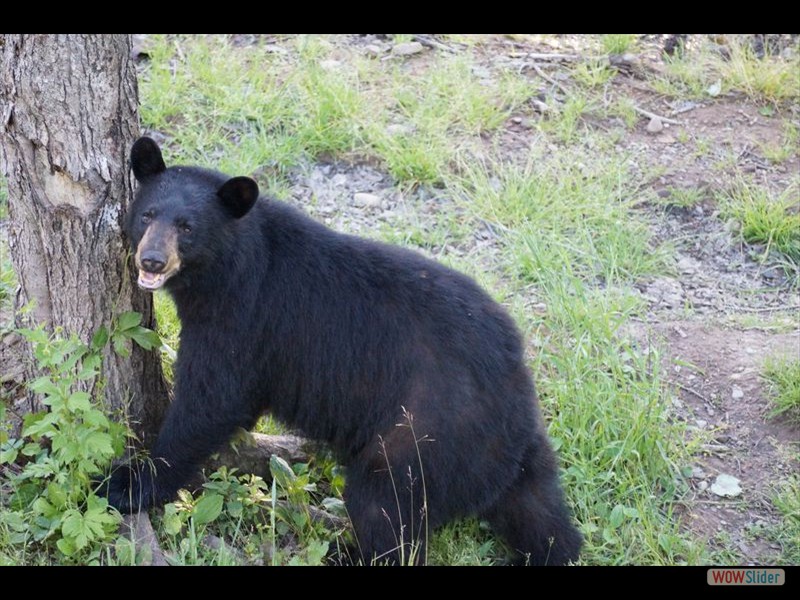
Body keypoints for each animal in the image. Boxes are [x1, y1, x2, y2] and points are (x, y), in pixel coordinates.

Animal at [103, 136, 582, 566]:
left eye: (187, 227)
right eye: (147, 215)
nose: (151, 260)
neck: (225, 270)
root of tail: (514, 405)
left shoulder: (243, 322)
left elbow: (211, 402)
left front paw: (128, 484)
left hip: (422, 433)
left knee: (386, 513)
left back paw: (348, 553)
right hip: (516, 454)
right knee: (542, 515)